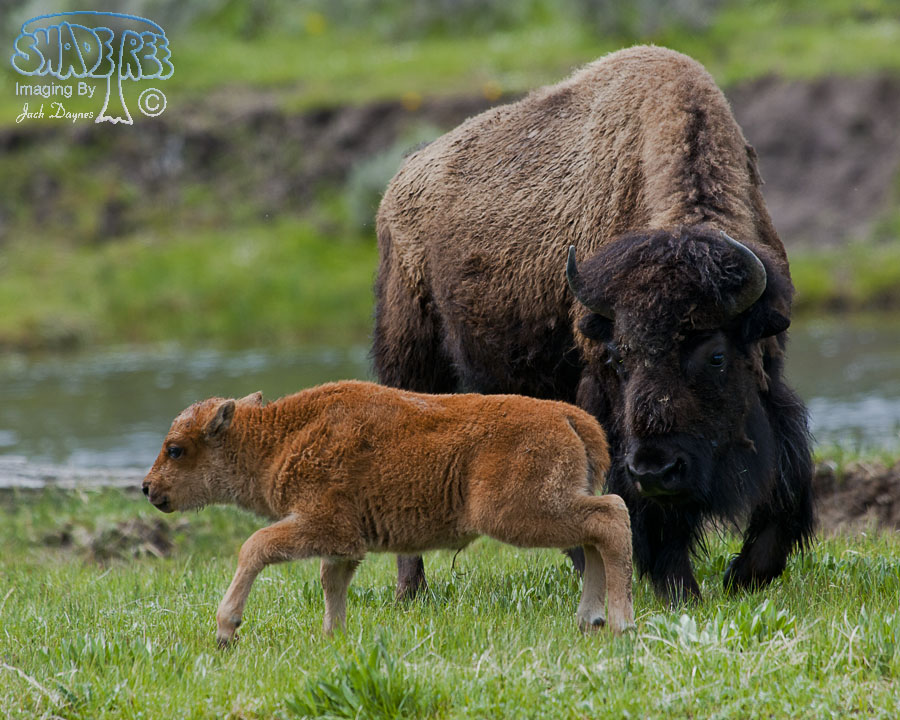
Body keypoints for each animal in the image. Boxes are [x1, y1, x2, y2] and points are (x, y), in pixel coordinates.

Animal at [372, 45, 814, 603]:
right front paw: (680, 588)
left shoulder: (768, 375)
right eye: (619, 356)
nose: (656, 468)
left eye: (715, 355)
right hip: (412, 361)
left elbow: (790, 479)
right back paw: (412, 592)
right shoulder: (608, 405)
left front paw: (746, 573)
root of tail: (398, 184)